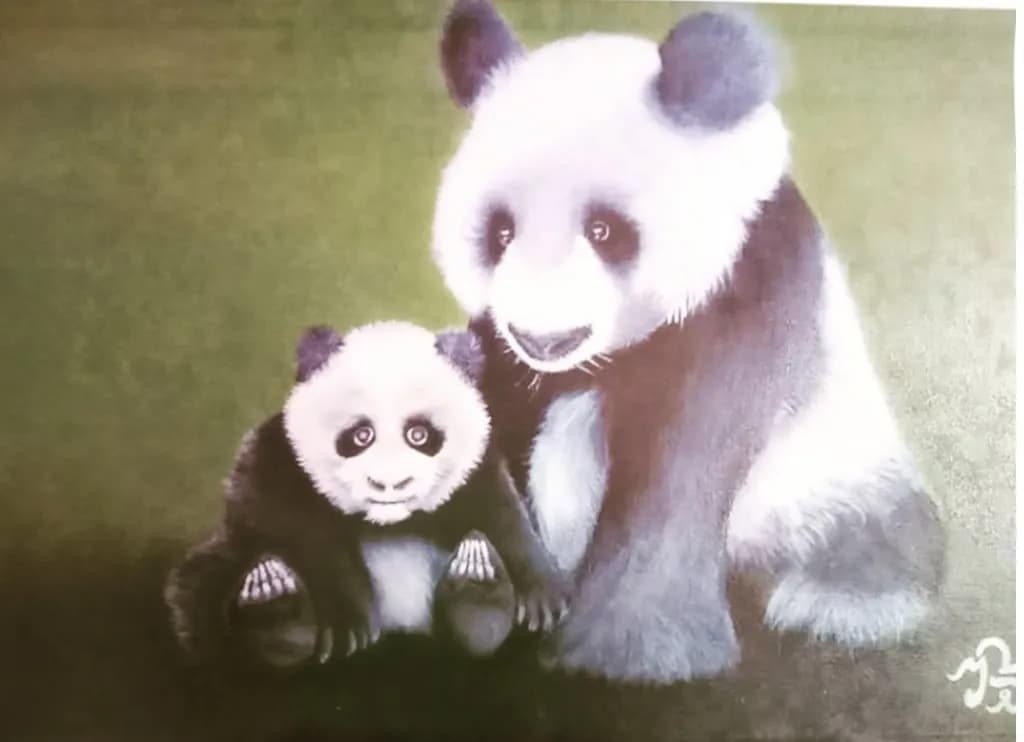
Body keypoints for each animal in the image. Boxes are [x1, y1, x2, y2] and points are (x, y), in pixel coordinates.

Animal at [164, 320, 570, 670]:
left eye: (419, 435)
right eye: (361, 436)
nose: (389, 484)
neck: (388, 522)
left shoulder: (474, 470)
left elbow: (501, 510)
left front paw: (542, 598)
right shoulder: (279, 462)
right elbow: (300, 527)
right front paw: (348, 625)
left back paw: (479, 600)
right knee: (201, 594)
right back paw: (276, 612)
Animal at [432, 1, 946, 684]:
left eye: (604, 230)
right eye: (500, 231)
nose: (543, 334)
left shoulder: (740, 300)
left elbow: (676, 480)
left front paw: (622, 659)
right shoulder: (505, 352)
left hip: (834, 485)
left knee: (878, 544)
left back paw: (830, 601)